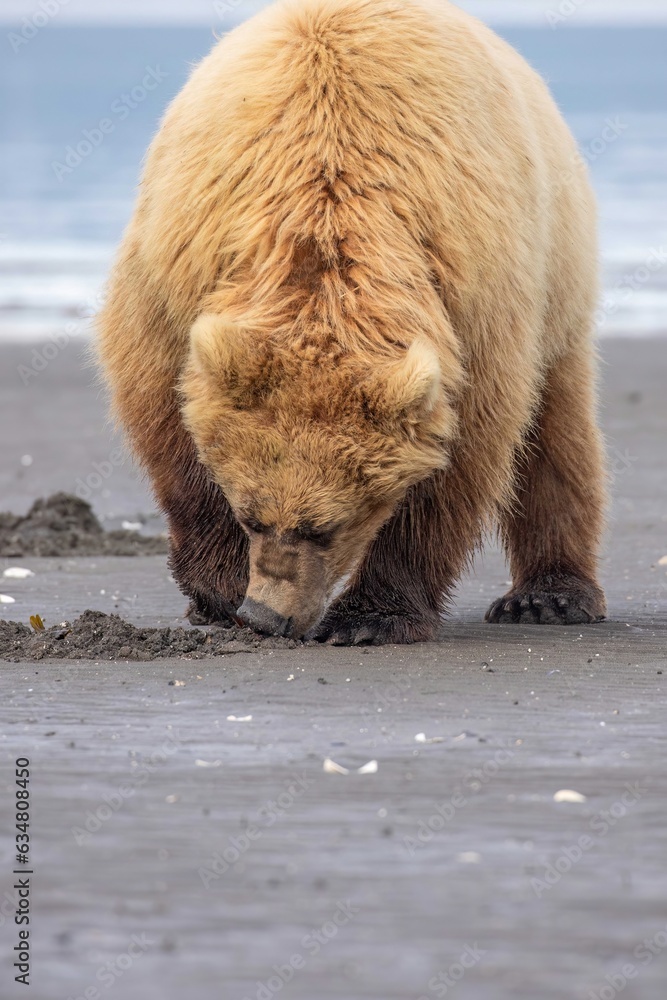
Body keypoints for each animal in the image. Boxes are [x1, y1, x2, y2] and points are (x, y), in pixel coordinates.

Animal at [96, 0, 607, 645]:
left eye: (326, 527)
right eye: (252, 517)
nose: (266, 616)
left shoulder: (472, 300)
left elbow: (466, 448)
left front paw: (371, 616)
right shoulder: (185, 261)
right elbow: (162, 399)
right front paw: (218, 585)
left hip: (558, 278)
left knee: (556, 429)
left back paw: (549, 597)